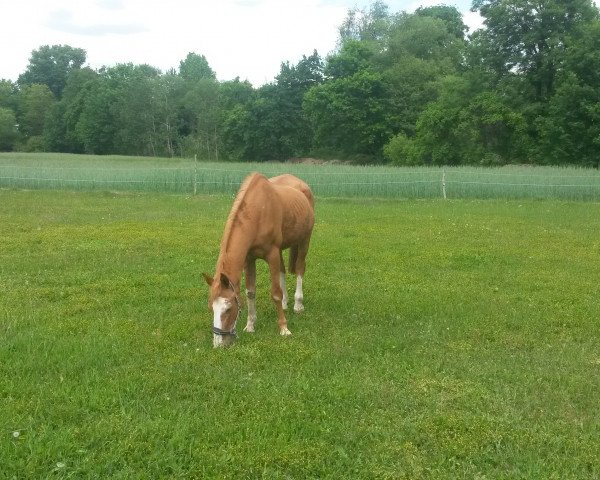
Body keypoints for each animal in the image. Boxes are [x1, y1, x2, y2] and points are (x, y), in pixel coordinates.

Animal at [203, 172, 314, 348]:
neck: (258, 212)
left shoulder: (272, 254)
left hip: (304, 240)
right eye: (211, 308)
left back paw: (298, 304)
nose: (219, 344)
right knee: (283, 270)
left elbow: (275, 293)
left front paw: (284, 328)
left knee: (300, 268)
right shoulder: (249, 259)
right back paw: (285, 303)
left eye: (228, 309)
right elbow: (250, 293)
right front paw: (250, 326)